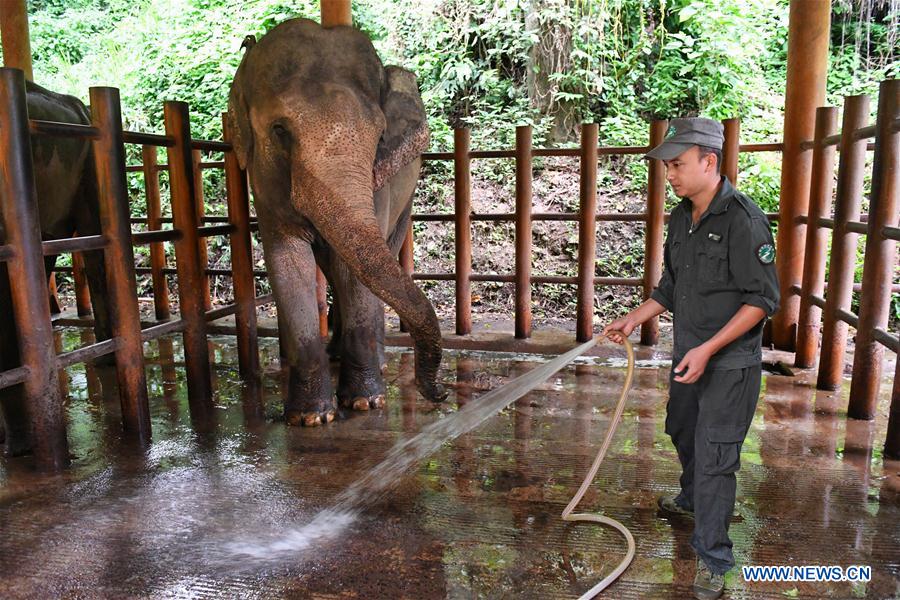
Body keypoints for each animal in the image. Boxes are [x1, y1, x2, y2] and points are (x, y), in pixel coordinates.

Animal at [227, 18, 446, 426]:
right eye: (279, 131)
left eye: (379, 134)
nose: (439, 393)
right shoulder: (263, 185)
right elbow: (288, 261)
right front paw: (310, 418)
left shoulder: (378, 181)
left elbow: (352, 270)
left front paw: (365, 402)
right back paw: (335, 355)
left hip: (406, 197)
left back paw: (375, 361)